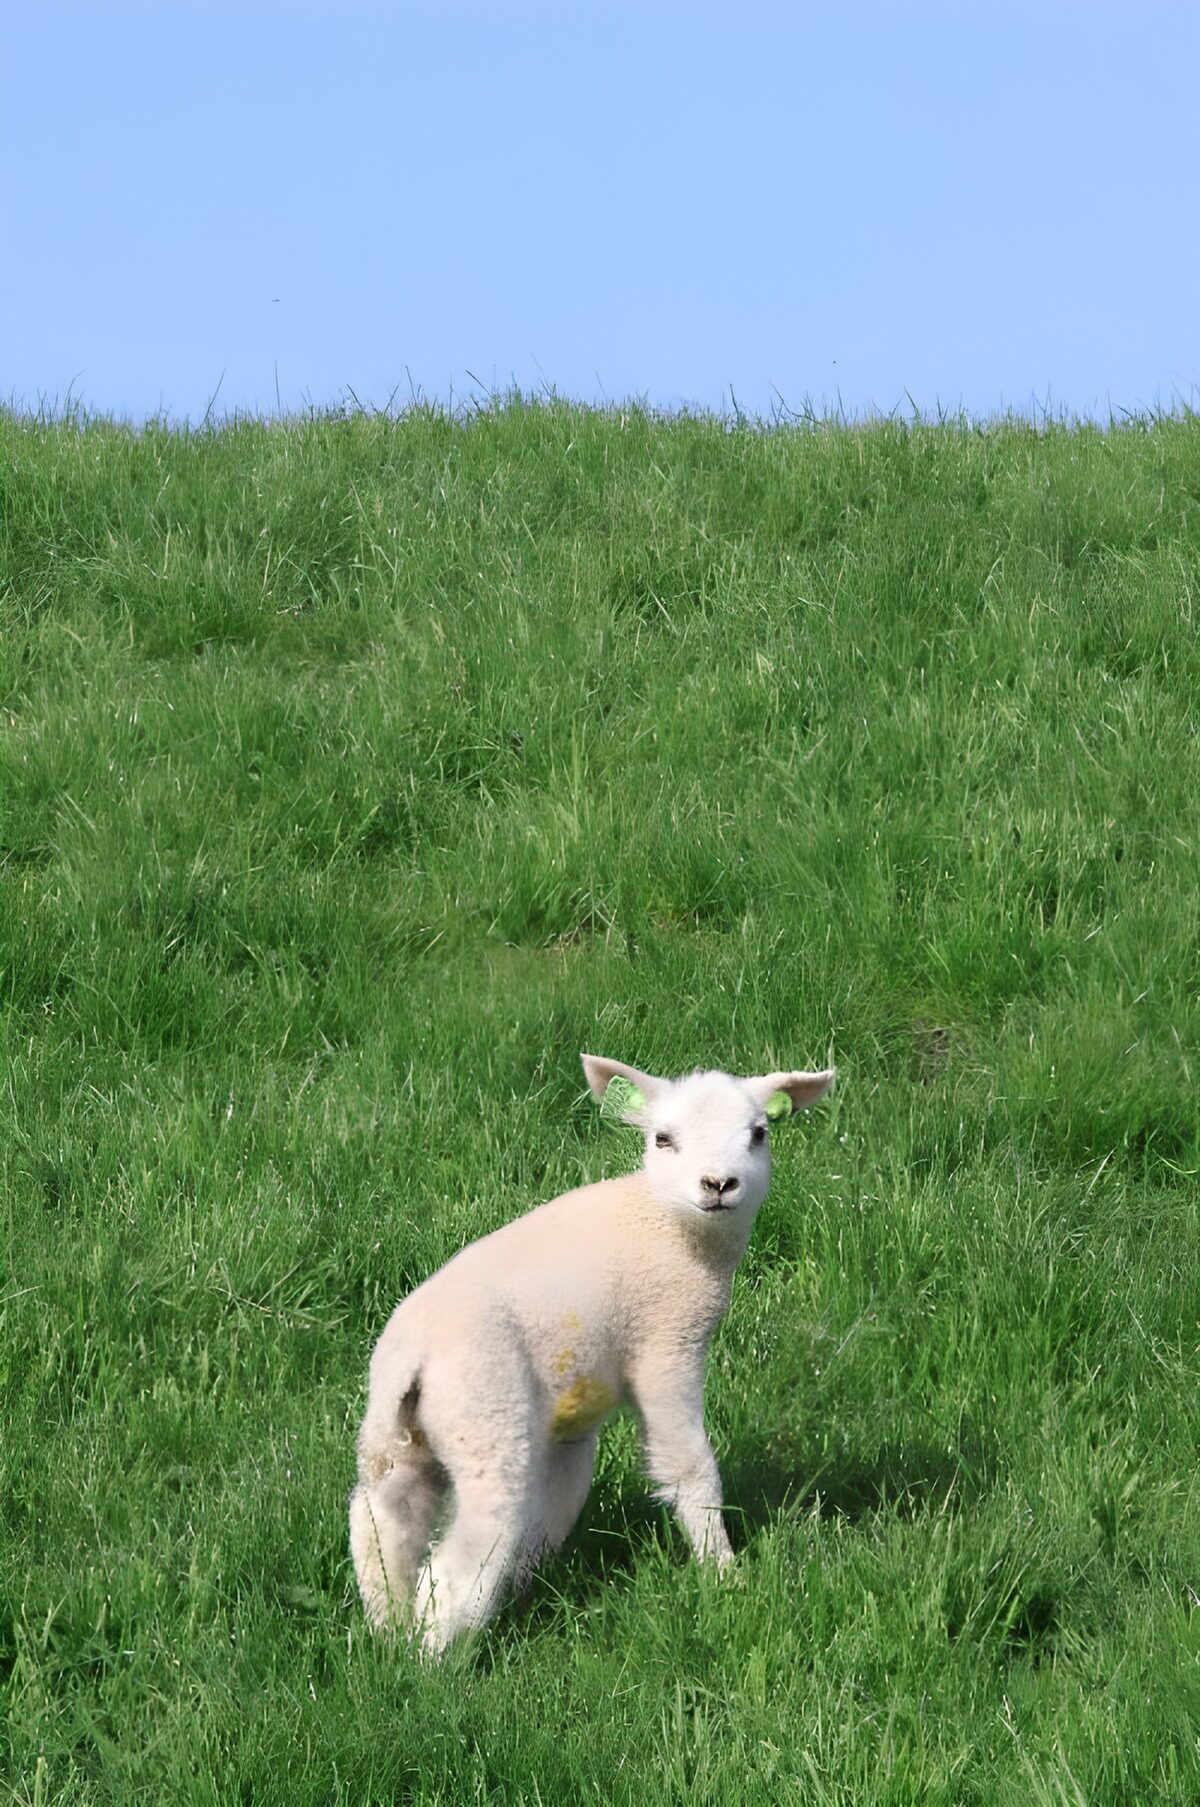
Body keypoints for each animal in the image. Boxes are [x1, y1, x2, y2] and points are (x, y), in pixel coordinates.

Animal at [349, 1052, 835, 1653]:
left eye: (759, 1133)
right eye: (663, 1139)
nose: (719, 1184)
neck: (669, 1224)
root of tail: (411, 1356)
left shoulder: (572, 1414)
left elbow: (561, 1497)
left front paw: (532, 1578)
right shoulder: (666, 1343)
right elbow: (688, 1465)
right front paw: (724, 1575)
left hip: (397, 1435)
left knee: (380, 1523)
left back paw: (388, 1633)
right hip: (486, 1415)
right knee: (459, 1560)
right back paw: (437, 1658)